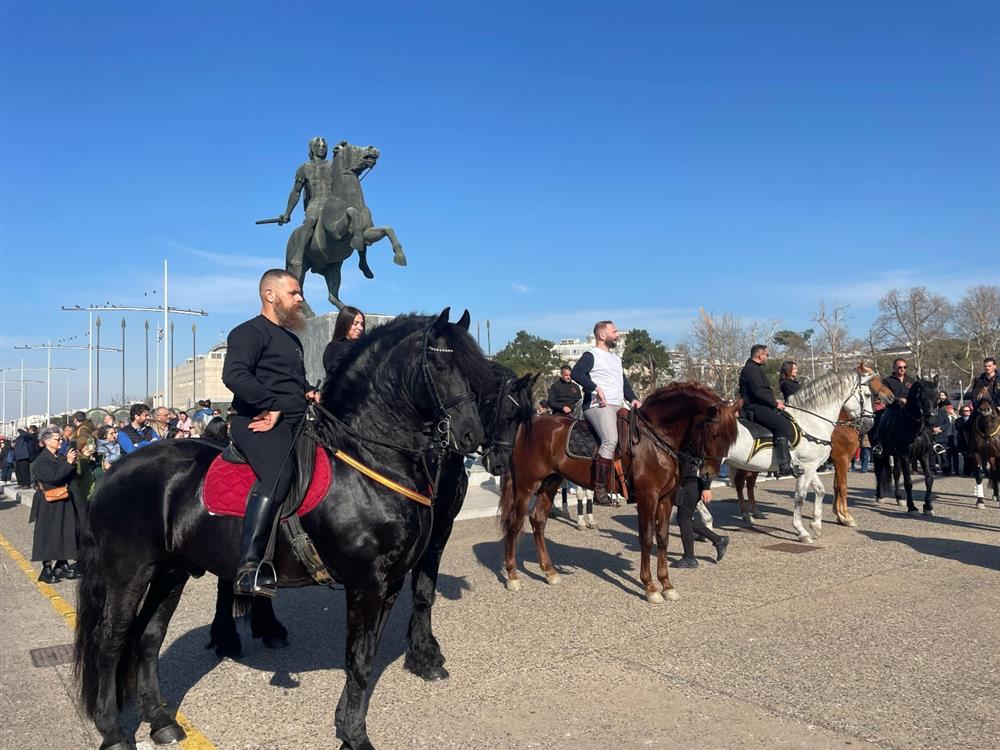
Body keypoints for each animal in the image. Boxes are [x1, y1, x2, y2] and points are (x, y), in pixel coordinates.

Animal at [73, 310, 500, 750]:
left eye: (479, 372)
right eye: (441, 365)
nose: (472, 435)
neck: (369, 460)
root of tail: (114, 471)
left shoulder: (392, 580)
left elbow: (371, 652)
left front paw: (349, 725)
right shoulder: (367, 582)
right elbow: (359, 660)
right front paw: (355, 735)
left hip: (171, 571)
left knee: (148, 636)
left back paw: (161, 721)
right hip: (129, 573)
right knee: (111, 641)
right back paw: (113, 730)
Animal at [207, 368, 544, 684]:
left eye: (523, 419)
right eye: (507, 413)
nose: (501, 464)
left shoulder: (437, 531)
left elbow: (423, 590)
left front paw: (424, 652)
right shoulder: (428, 533)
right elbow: (421, 591)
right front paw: (424, 654)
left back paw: (262, 628)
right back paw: (231, 636)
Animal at [286, 141, 406, 314]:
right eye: (352, 147)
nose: (373, 149)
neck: (347, 198)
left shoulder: (368, 232)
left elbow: (387, 229)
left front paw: (400, 256)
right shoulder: (335, 232)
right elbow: (351, 212)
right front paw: (356, 240)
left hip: (334, 269)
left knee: (332, 295)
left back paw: (346, 307)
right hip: (298, 268)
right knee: (299, 289)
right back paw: (309, 313)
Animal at [496, 384, 740, 608]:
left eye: (731, 438)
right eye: (714, 433)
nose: (708, 474)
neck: (656, 439)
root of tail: (527, 426)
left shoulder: (666, 498)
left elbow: (663, 538)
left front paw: (667, 585)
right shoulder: (647, 496)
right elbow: (647, 538)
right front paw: (650, 587)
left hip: (550, 483)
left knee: (538, 521)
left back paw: (550, 572)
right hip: (527, 487)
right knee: (514, 525)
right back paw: (512, 575)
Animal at [720, 368, 876, 544]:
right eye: (868, 395)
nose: (869, 424)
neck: (812, 421)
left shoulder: (810, 466)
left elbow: (820, 490)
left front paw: (816, 525)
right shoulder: (816, 465)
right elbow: (801, 496)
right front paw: (802, 531)